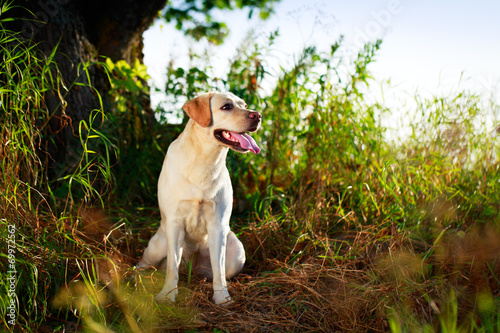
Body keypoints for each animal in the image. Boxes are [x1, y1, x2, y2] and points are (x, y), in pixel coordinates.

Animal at [137, 91, 262, 304]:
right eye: (226, 106)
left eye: (244, 105)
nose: (258, 115)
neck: (205, 159)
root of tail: (192, 266)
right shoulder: (174, 222)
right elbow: (172, 267)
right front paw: (167, 295)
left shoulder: (218, 225)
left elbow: (219, 269)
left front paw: (222, 297)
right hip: (158, 245)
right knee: (146, 262)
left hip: (236, 251)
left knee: (218, 270)